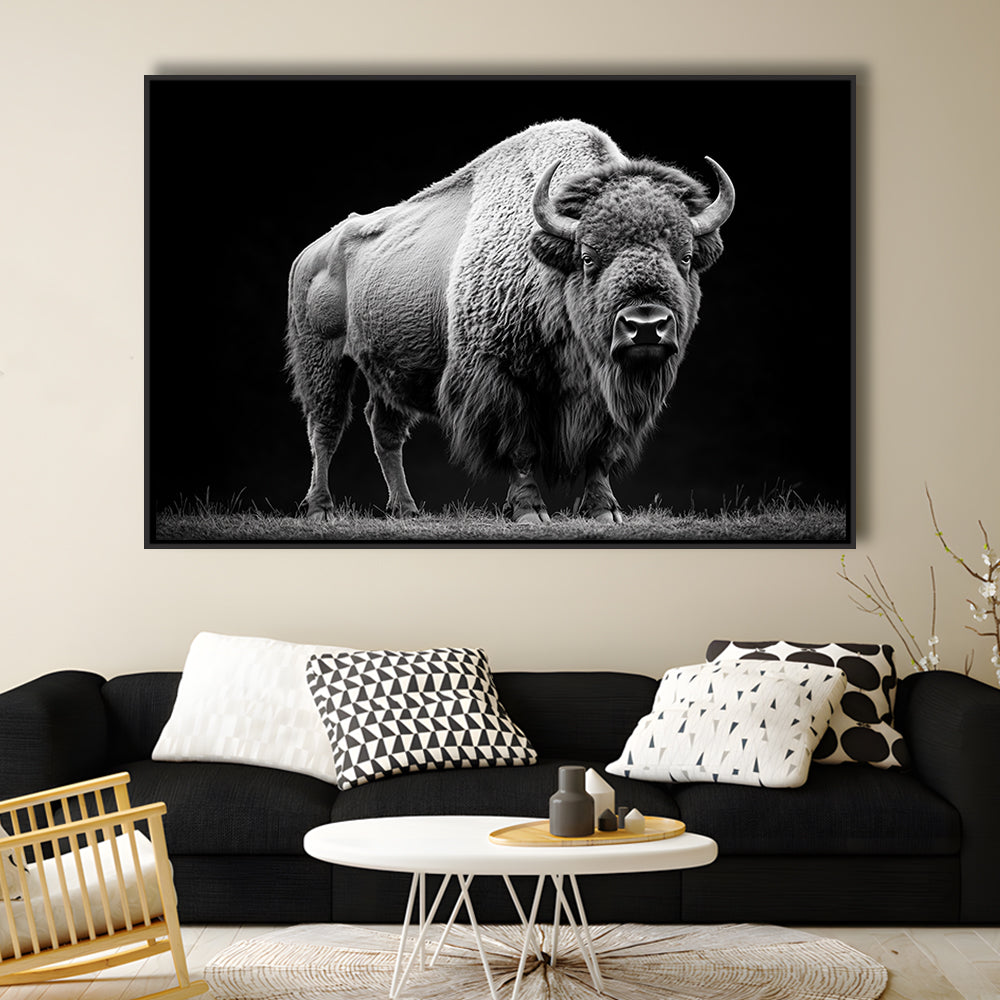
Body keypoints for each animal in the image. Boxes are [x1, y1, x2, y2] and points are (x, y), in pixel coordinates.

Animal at [285, 119, 734, 524]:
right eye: (588, 257)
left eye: (686, 257)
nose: (646, 324)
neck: (548, 267)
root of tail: (312, 251)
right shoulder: (502, 381)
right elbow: (520, 448)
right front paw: (529, 511)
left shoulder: (605, 395)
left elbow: (601, 452)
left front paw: (604, 511)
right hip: (322, 357)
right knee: (325, 427)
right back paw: (321, 509)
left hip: (388, 370)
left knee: (384, 429)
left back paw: (406, 509)